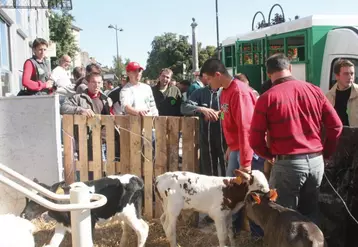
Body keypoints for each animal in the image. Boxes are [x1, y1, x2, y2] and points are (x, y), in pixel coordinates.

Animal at [20, 175, 149, 247]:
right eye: (27, 198)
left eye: (38, 200)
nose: (23, 215)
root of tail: (136, 178)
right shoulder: (62, 223)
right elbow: (53, 243)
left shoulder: (90, 222)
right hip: (123, 214)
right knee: (127, 228)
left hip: (130, 213)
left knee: (143, 229)